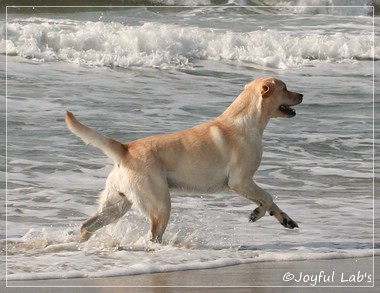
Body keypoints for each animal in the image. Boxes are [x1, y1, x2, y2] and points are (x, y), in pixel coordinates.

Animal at [65, 75, 302, 242]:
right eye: (285, 88)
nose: (302, 95)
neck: (247, 120)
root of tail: (125, 149)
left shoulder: (245, 184)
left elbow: (270, 201)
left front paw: (286, 220)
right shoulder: (241, 181)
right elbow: (268, 197)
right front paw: (256, 214)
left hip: (117, 204)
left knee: (87, 225)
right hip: (160, 204)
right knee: (153, 236)